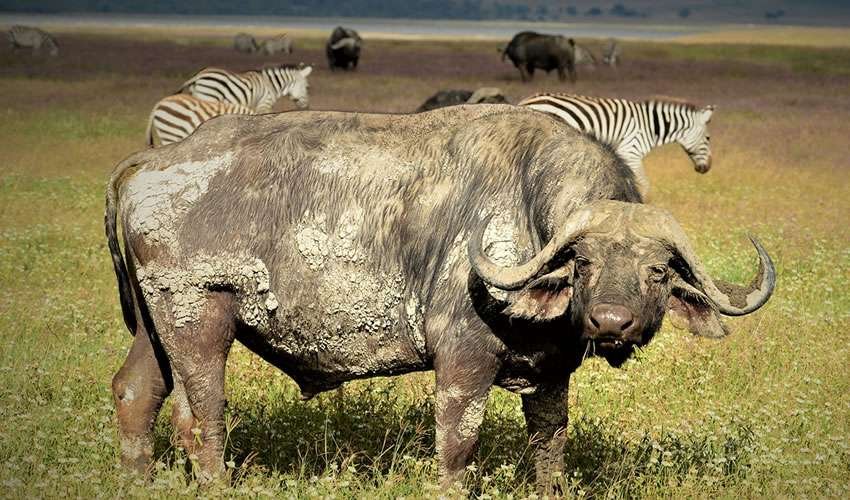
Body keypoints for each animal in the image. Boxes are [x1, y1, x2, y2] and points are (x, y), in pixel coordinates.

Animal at [106, 105, 774, 492]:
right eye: (583, 262)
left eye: (658, 271)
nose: (612, 322)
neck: (526, 212)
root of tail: (147, 163)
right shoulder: (462, 364)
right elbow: (459, 445)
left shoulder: (552, 373)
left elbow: (550, 444)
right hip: (199, 319)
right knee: (201, 415)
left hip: (152, 329)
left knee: (136, 393)